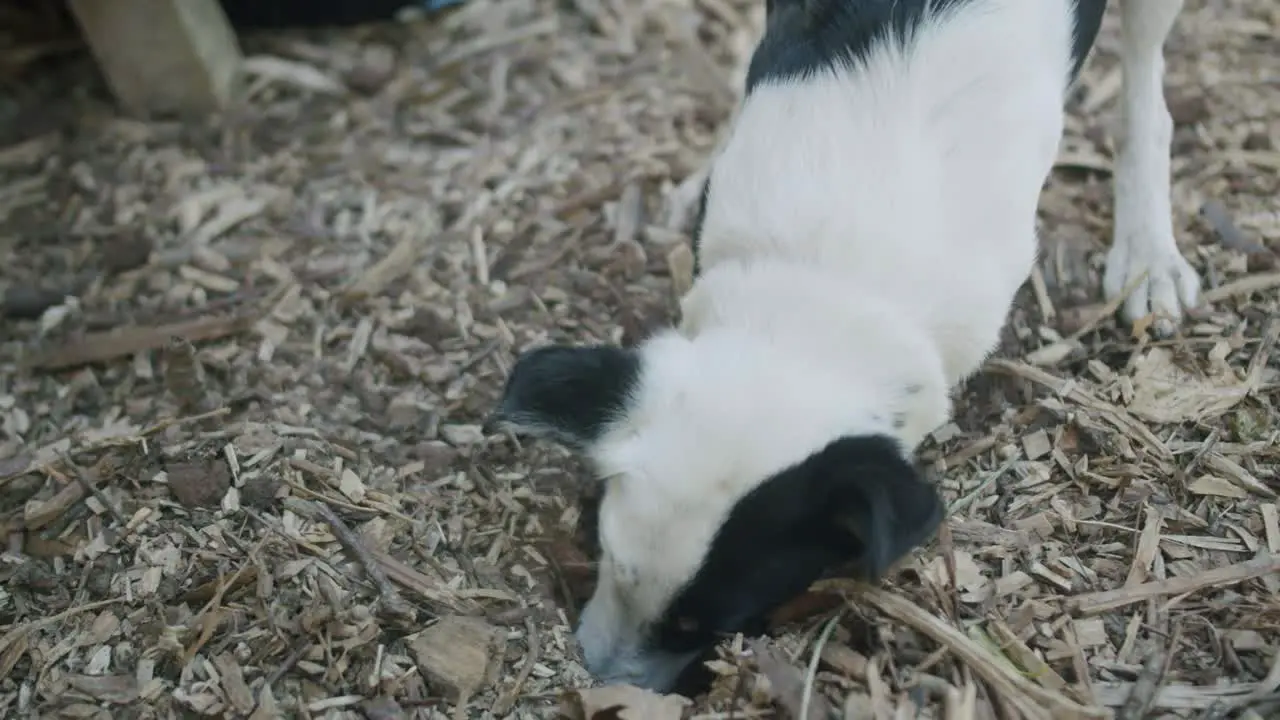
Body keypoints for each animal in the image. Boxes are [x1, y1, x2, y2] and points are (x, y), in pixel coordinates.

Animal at [483, 0, 1203, 691]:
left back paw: (1149, 252)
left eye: (713, 622)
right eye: (603, 555)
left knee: (1146, 85)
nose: (594, 674)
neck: (828, 277)